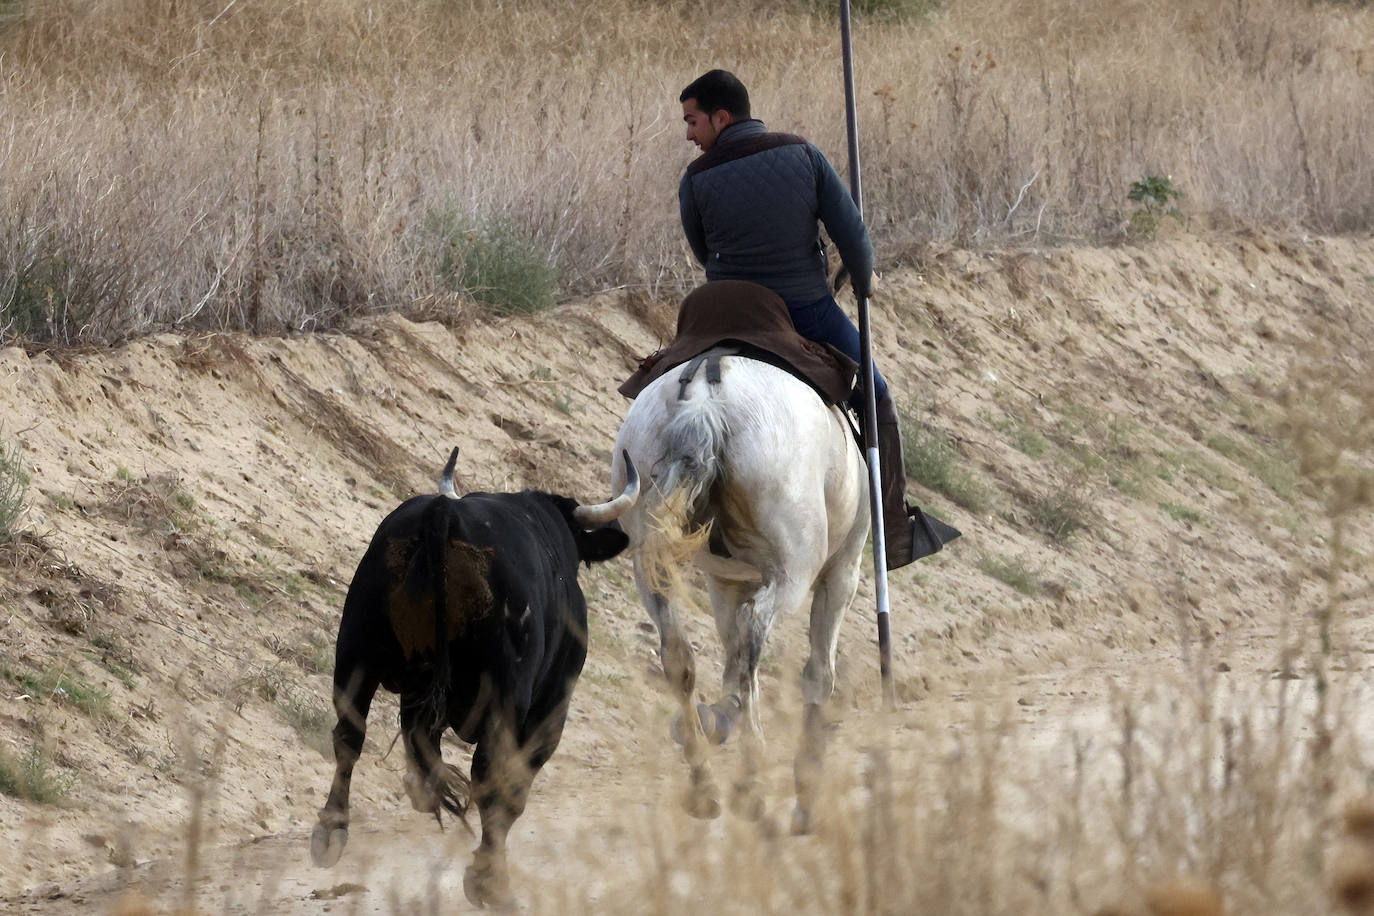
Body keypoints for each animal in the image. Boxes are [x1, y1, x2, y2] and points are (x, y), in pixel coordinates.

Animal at [313, 447, 637, 906]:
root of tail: (444, 513)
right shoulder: (548, 713)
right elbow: (512, 789)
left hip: (356, 651)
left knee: (350, 735)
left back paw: (332, 829)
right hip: (505, 695)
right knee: (489, 778)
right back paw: (489, 878)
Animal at [610, 346, 862, 829]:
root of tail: (705, 402)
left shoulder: (725, 579)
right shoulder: (842, 572)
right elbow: (820, 672)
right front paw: (806, 790)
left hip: (649, 561)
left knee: (680, 656)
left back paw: (704, 779)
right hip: (792, 575)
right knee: (752, 644)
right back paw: (752, 779)